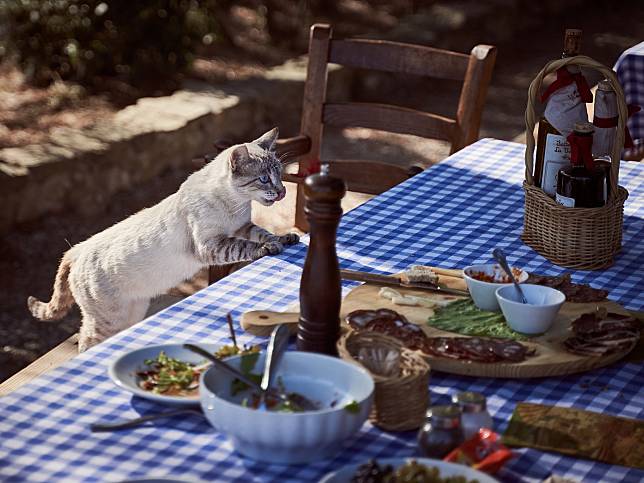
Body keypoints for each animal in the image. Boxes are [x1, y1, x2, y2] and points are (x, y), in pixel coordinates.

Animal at [25, 125, 296, 352]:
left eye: (280, 174)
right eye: (264, 179)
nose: (282, 191)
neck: (235, 205)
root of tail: (78, 249)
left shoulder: (242, 226)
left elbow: (262, 233)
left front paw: (285, 239)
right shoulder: (211, 245)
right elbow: (245, 246)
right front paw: (268, 248)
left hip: (132, 313)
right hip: (109, 320)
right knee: (85, 341)